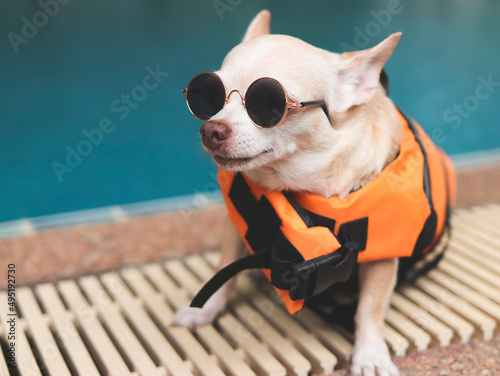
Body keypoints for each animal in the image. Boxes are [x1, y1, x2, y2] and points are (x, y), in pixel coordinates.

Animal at [173, 8, 446, 376]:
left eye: (269, 104)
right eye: (207, 96)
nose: (210, 129)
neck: (303, 184)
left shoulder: (383, 257)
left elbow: (371, 307)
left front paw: (370, 354)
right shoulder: (236, 222)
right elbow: (225, 267)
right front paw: (206, 309)